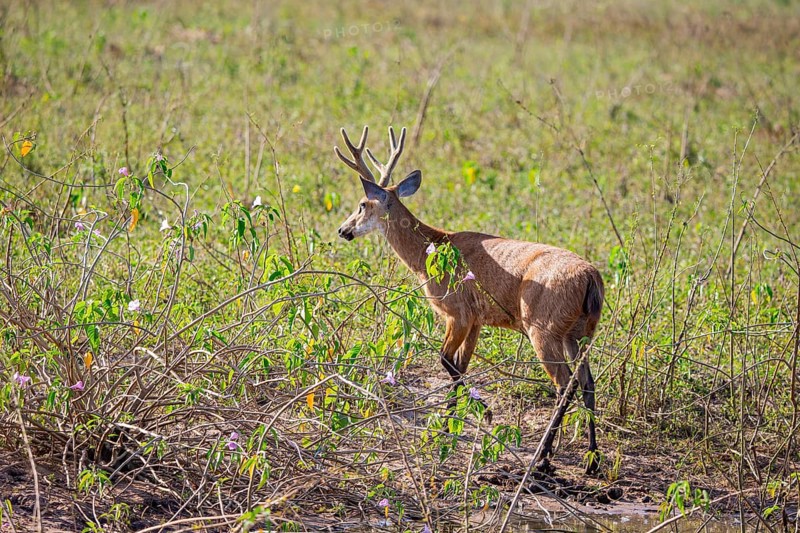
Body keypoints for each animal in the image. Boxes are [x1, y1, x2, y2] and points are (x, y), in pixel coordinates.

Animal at [334, 126, 604, 473]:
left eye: (362, 204)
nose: (343, 230)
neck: (429, 254)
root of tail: (591, 278)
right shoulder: (477, 318)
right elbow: (459, 367)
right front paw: (449, 425)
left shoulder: (457, 311)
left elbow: (446, 362)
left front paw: (476, 413)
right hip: (580, 333)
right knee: (587, 383)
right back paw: (592, 461)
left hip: (543, 327)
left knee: (563, 385)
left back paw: (542, 457)